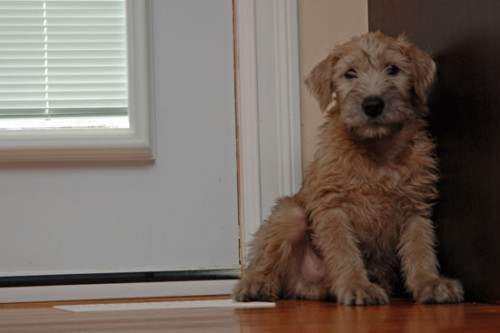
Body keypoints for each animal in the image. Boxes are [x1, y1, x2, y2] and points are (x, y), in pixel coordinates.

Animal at [234, 31, 464, 304]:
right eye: (349, 73)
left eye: (393, 69)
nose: (372, 105)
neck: (377, 151)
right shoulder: (332, 207)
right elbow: (344, 250)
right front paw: (357, 285)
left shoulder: (415, 208)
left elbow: (420, 248)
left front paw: (429, 283)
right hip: (290, 214)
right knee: (265, 260)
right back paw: (255, 284)